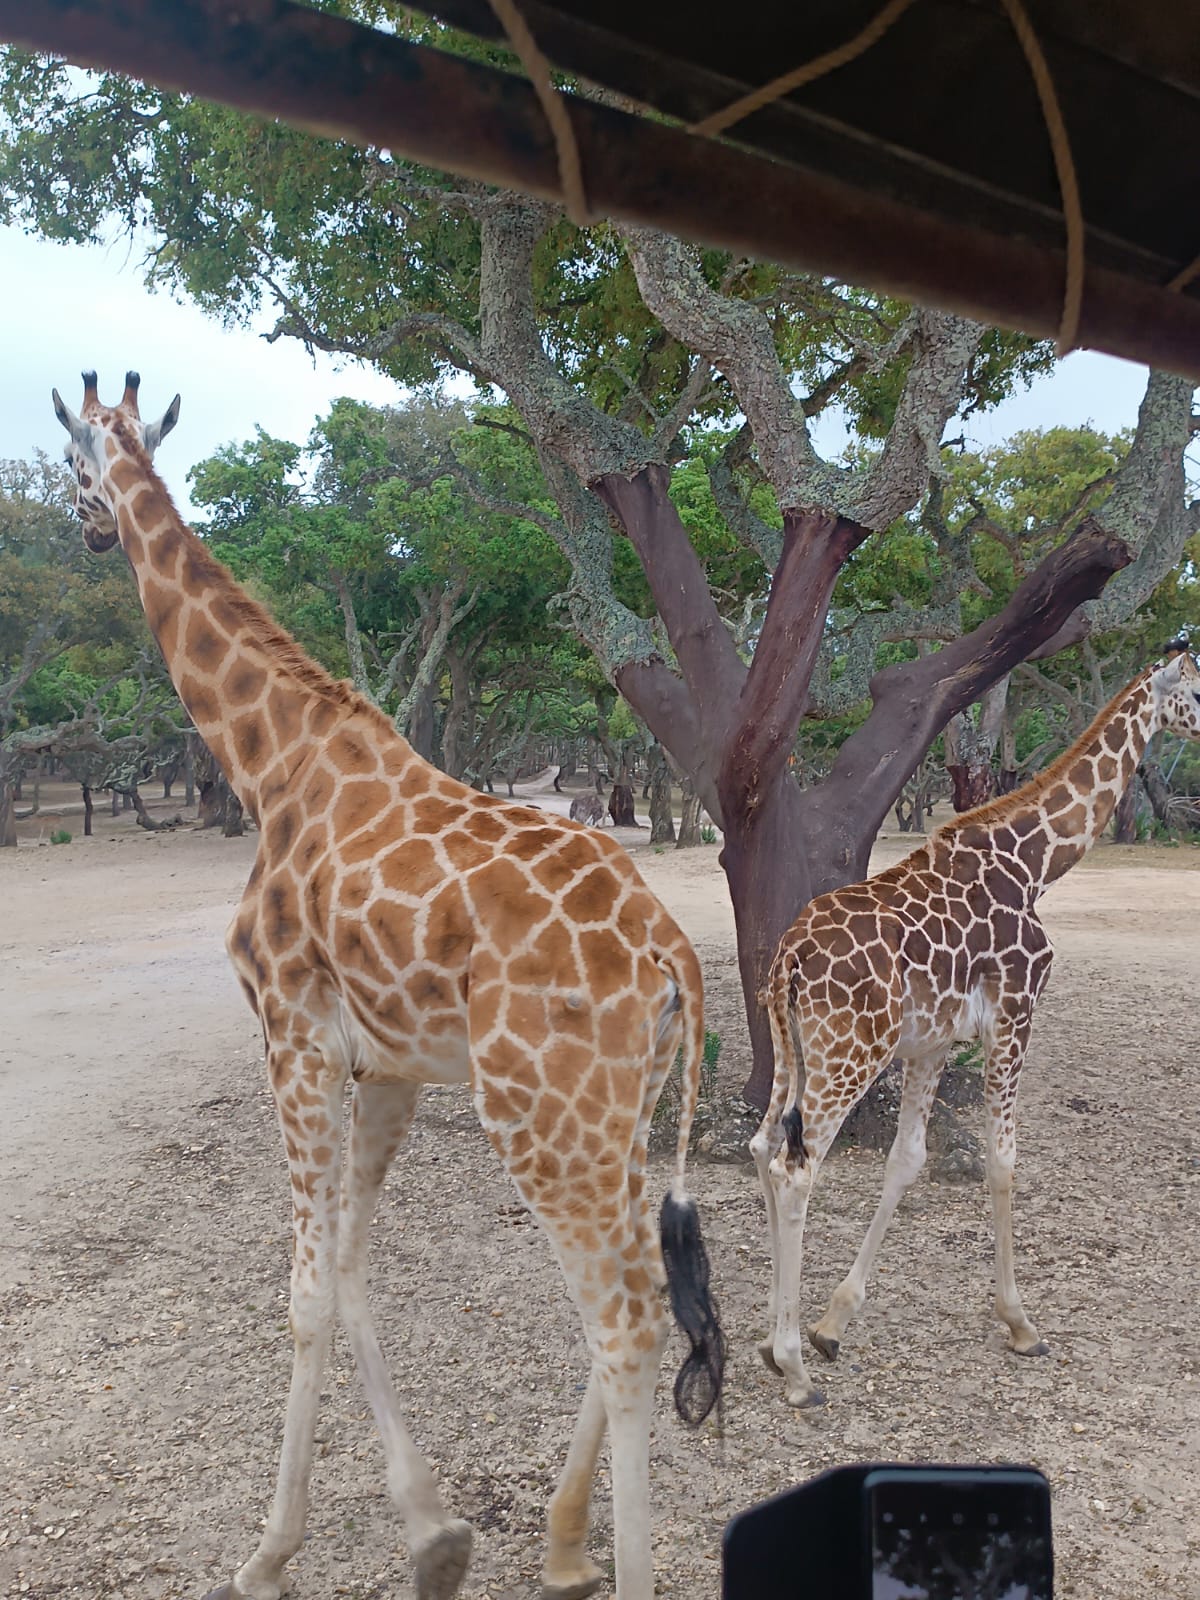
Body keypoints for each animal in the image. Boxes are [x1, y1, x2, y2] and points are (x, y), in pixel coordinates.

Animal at [53, 372, 724, 1600]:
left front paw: (270, 1551)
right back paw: (561, 1541)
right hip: (624, 1108)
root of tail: (672, 956)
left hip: (540, 1114)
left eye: (76, 463)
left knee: (629, 1323)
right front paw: (435, 1533)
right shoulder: (390, 1064)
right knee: (643, 1294)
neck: (269, 761)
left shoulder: (291, 1029)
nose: (84, 526)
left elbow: (306, 1289)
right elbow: (355, 1265)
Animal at [752, 651, 1200, 1409]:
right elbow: (1002, 1160)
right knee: (796, 1166)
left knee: (761, 1147)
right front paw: (1020, 1324)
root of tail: (791, 954)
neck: (1038, 863)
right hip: (850, 1053)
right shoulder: (1016, 1012)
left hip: (797, 1051)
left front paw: (833, 1322)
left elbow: (907, 1160)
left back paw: (766, 1344)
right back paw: (793, 1371)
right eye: (1197, 688)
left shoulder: (933, 1041)